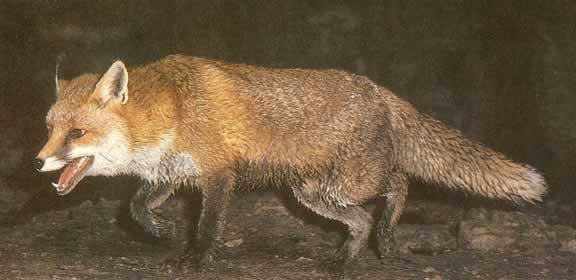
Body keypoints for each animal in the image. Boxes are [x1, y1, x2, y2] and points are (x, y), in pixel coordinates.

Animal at [33, 54, 548, 270]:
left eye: (77, 134)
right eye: (49, 128)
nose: (37, 164)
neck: (173, 110)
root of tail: (379, 91)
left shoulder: (218, 174)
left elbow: (208, 226)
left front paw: (197, 259)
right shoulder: (172, 171)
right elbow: (136, 206)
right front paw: (158, 230)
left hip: (347, 184)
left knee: (399, 184)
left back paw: (385, 240)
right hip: (313, 194)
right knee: (362, 219)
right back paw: (348, 257)